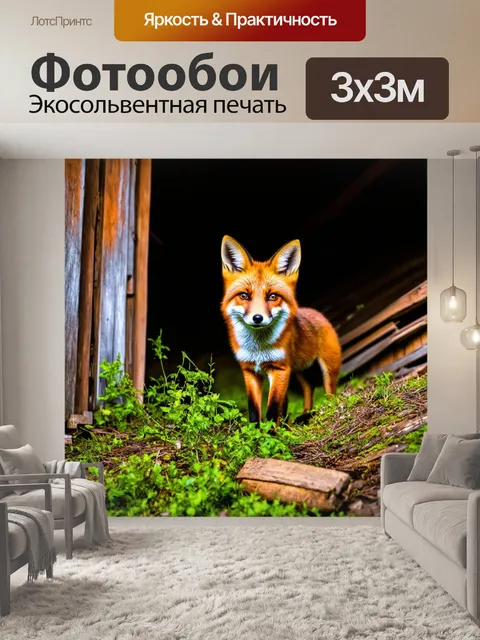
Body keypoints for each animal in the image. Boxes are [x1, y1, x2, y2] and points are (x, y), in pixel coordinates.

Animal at [220, 235, 342, 425]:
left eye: (272, 296)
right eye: (244, 296)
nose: (257, 318)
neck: (258, 349)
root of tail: (315, 312)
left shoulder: (279, 368)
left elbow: (272, 408)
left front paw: (270, 431)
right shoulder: (250, 371)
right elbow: (254, 409)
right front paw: (255, 431)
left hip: (327, 369)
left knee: (330, 394)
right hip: (298, 370)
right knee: (308, 387)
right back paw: (302, 415)